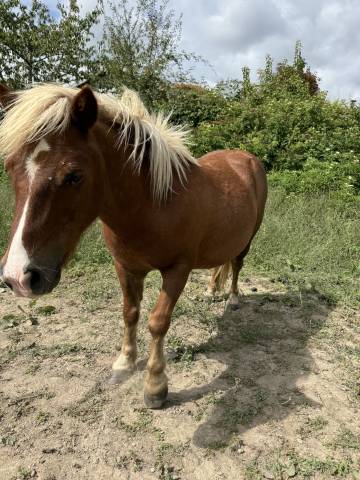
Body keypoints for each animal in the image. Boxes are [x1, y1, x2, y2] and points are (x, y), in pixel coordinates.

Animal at [0, 84, 268, 406]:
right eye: (9, 167)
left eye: (73, 176)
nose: (19, 277)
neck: (153, 204)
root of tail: (246, 157)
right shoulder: (126, 267)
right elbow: (130, 312)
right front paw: (124, 364)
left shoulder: (177, 270)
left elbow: (158, 321)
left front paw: (155, 386)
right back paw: (212, 290)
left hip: (249, 238)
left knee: (237, 264)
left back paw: (233, 298)